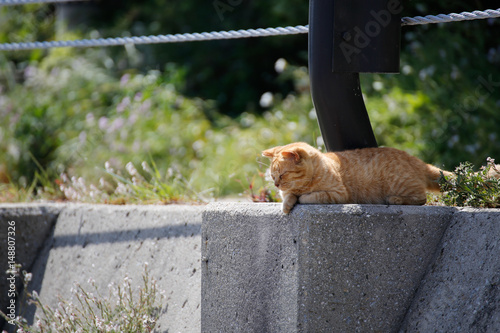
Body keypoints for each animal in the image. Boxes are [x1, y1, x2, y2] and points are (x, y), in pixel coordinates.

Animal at [262, 141, 454, 214]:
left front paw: (301, 198)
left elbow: (310, 196)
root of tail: (413, 159)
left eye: (282, 174)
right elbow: (288, 196)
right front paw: (287, 204)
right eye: (272, 176)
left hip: (400, 183)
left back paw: (396, 199)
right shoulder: (287, 192)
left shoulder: (338, 194)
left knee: (421, 198)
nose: (276, 184)